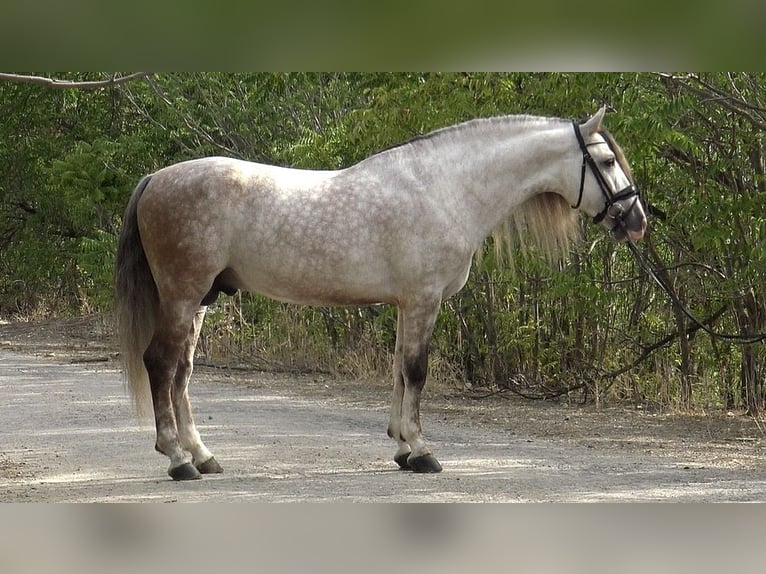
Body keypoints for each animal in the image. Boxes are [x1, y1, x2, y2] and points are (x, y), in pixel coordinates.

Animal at [115, 107, 648, 482]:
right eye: (606, 161)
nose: (638, 220)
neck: (444, 189)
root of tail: (156, 178)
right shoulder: (423, 300)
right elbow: (416, 372)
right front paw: (422, 451)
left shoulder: (405, 305)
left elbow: (397, 370)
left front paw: (401, 448)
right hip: (183, 297)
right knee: (161, 365)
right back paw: (178, 460)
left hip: (200, 301)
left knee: (181, 372)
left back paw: (203, 456)